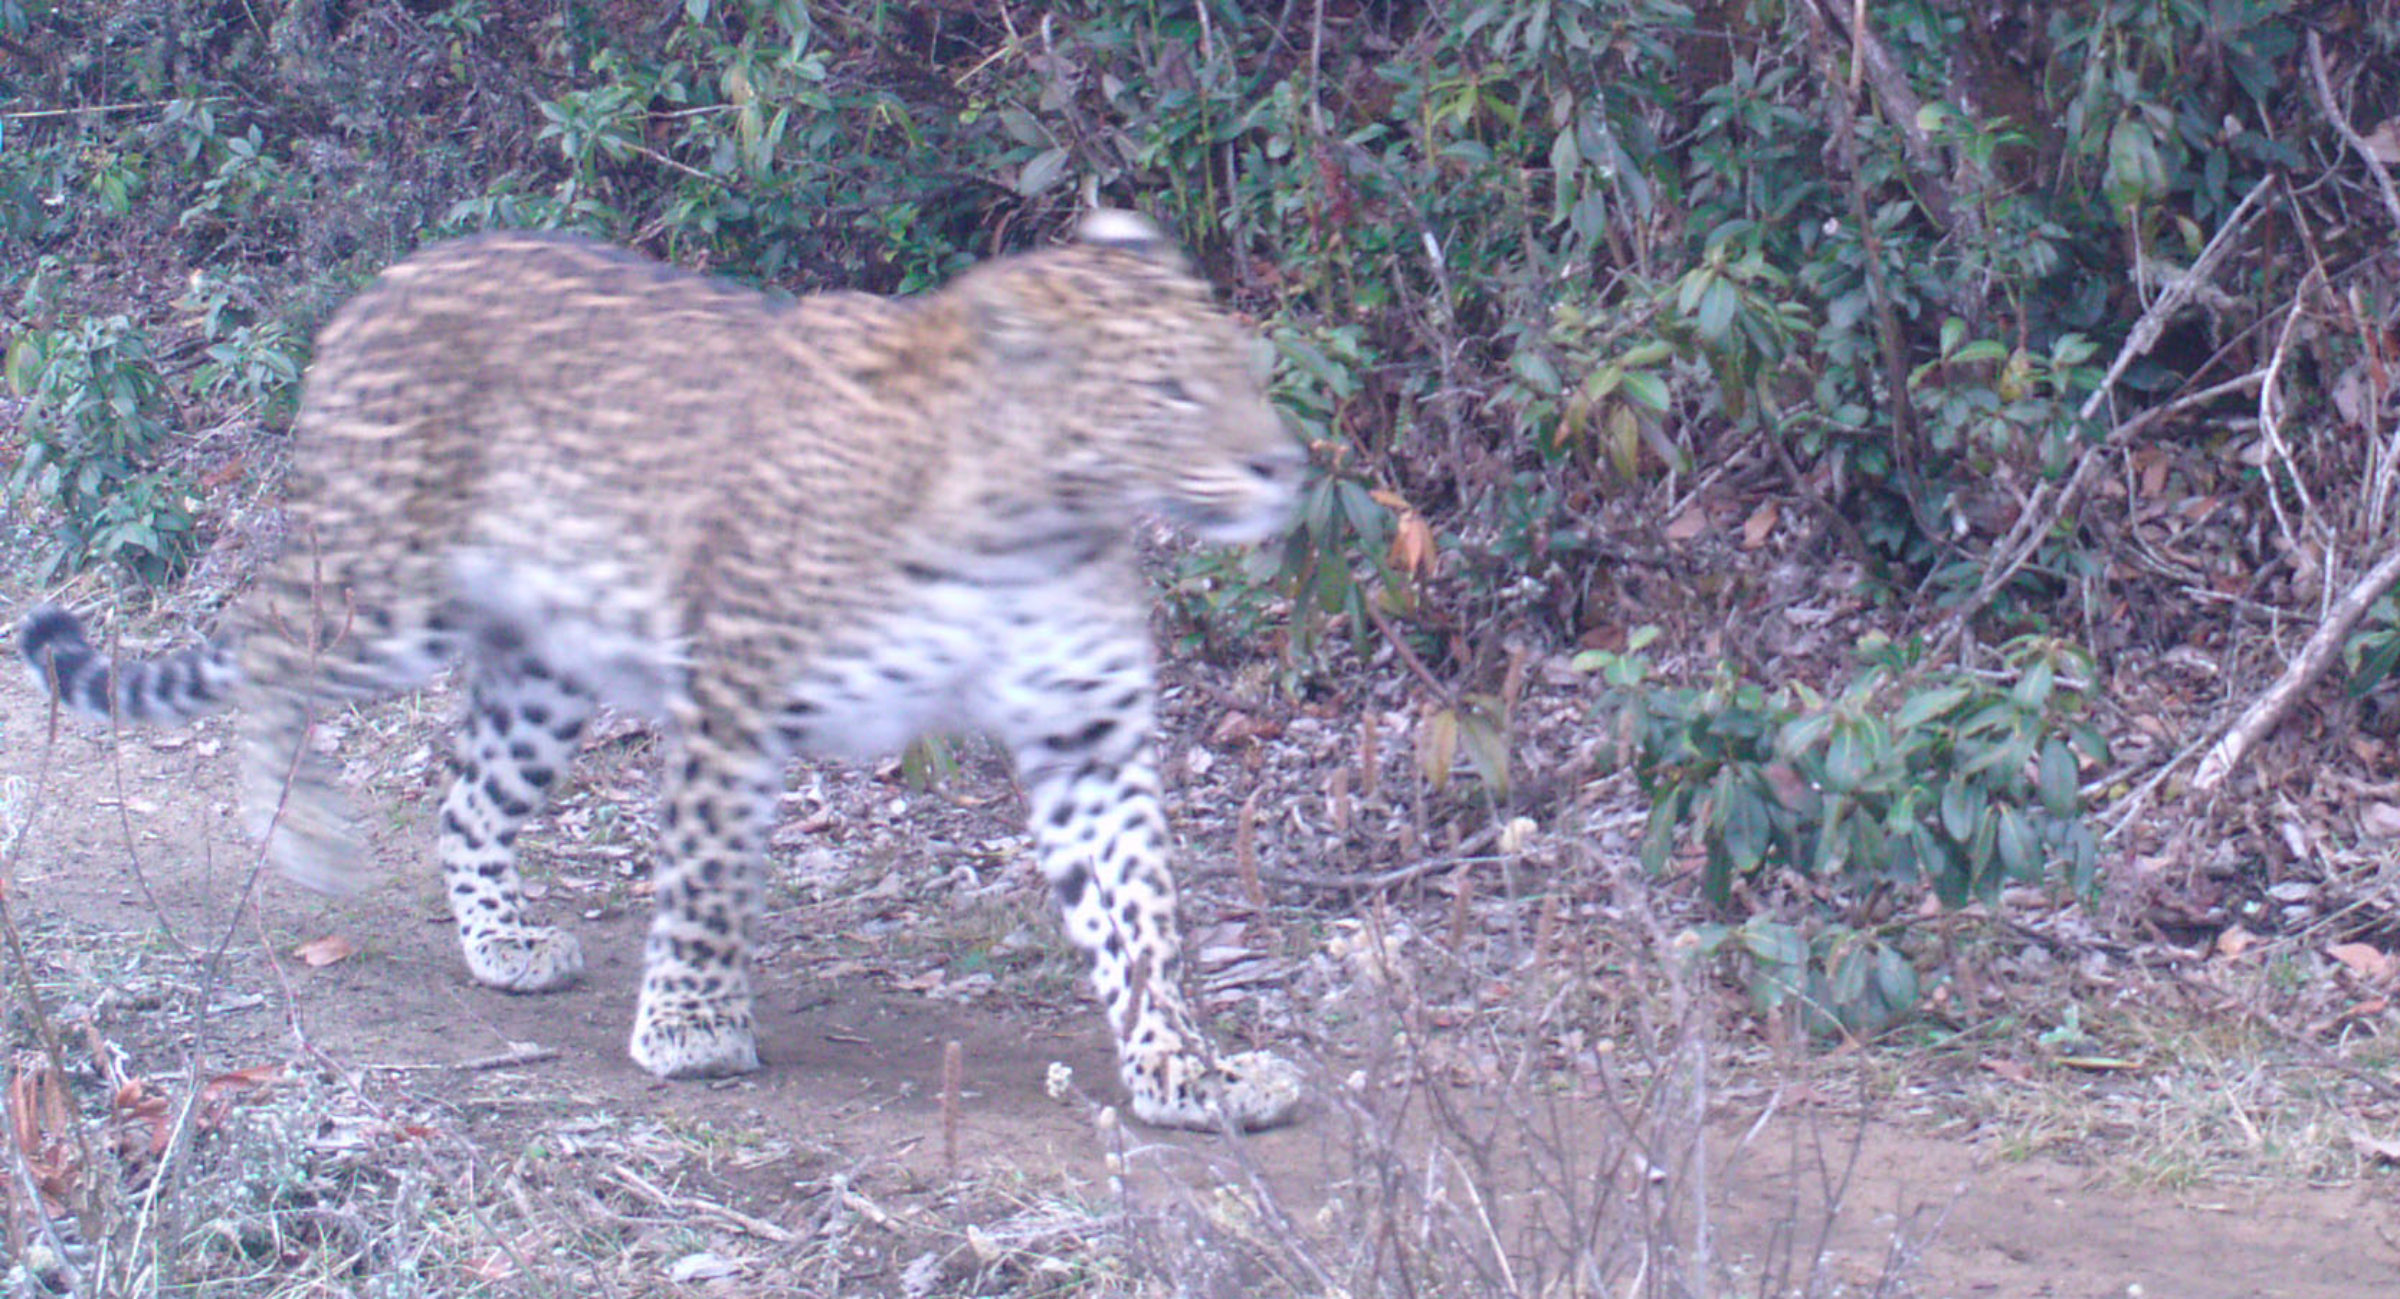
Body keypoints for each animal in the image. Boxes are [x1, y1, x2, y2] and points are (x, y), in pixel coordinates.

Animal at [18, 210, 1307, 1132]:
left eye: (1245, 370)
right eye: (1169, 392)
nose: (1284, 464)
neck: (1035, 520)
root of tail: (381, 285)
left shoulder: (1087, 739)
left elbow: (1140, 922)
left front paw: (1190, 1075)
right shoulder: (737, 692)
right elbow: (707, 874)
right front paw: (691, 1024)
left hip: (541, 669)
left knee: (465, 801)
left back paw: (504, 944)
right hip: (387, 590)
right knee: (270, 641)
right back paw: (300, 834)